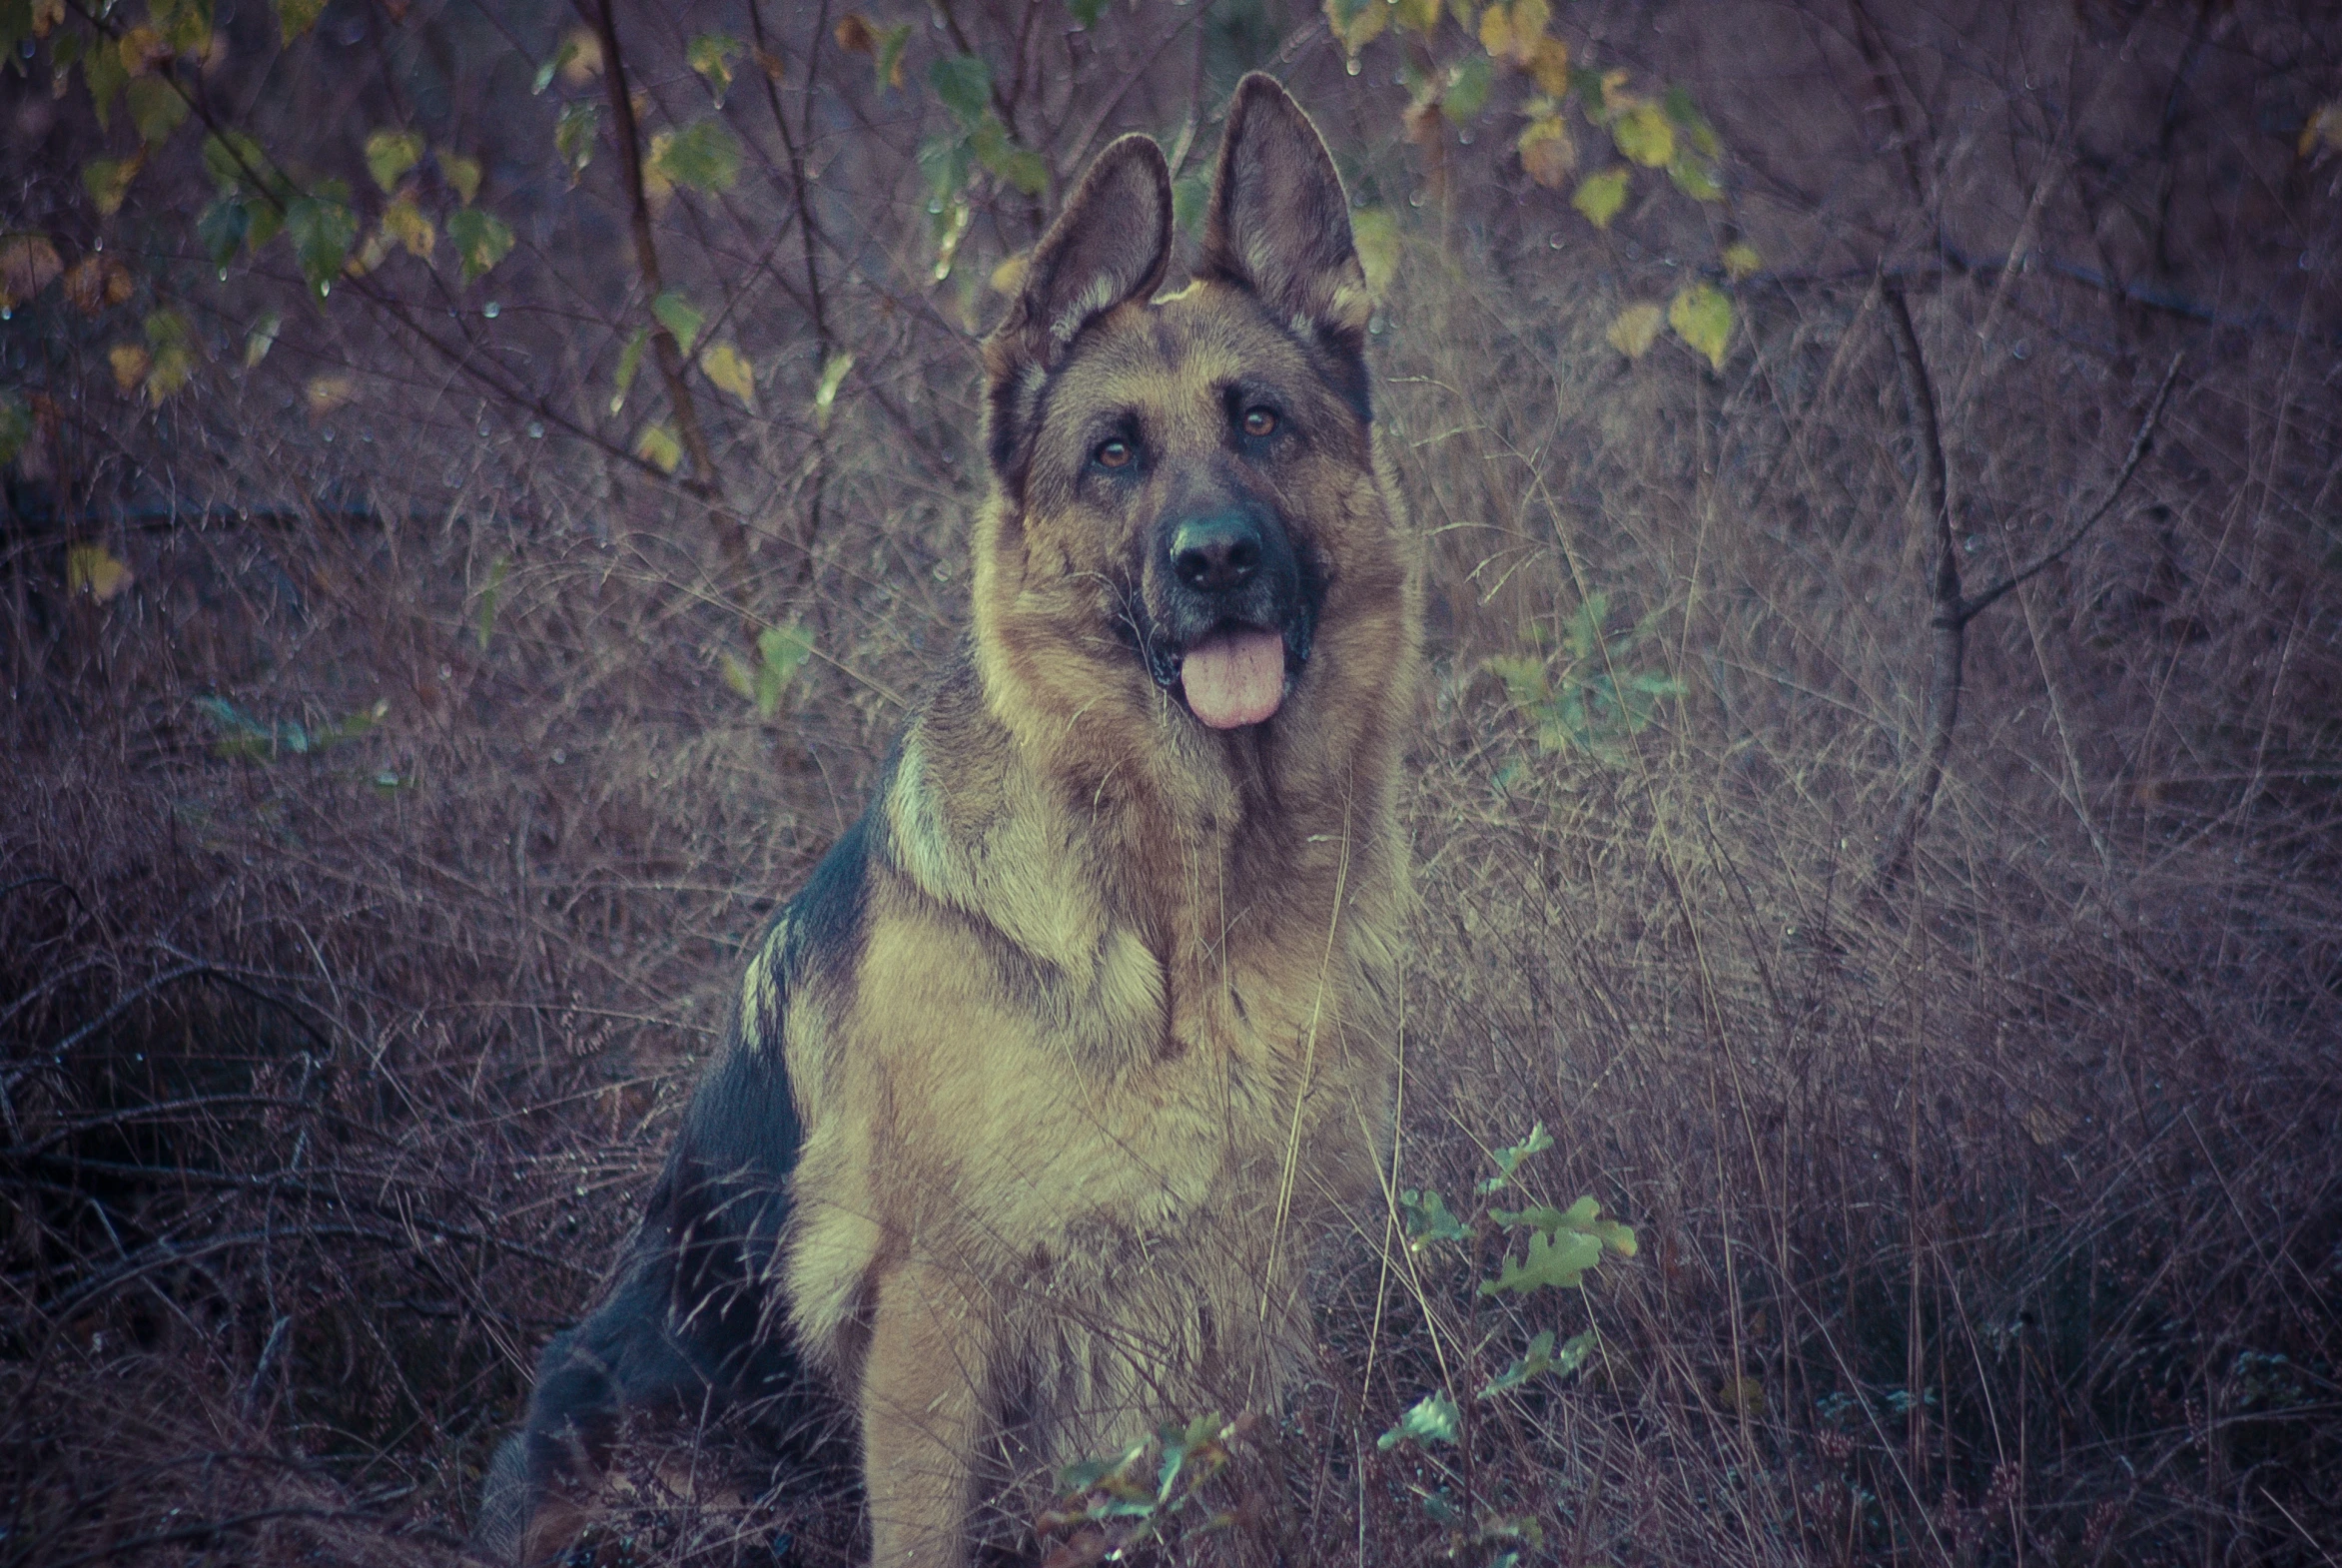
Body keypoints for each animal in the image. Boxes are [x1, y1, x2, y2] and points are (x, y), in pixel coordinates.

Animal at [479, 76, 1405, 1568]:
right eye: (1112, 454)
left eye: (1261, 421)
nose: (1214, 561)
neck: (1183, 908)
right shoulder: (932, 1318)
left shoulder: (1237, 1304)